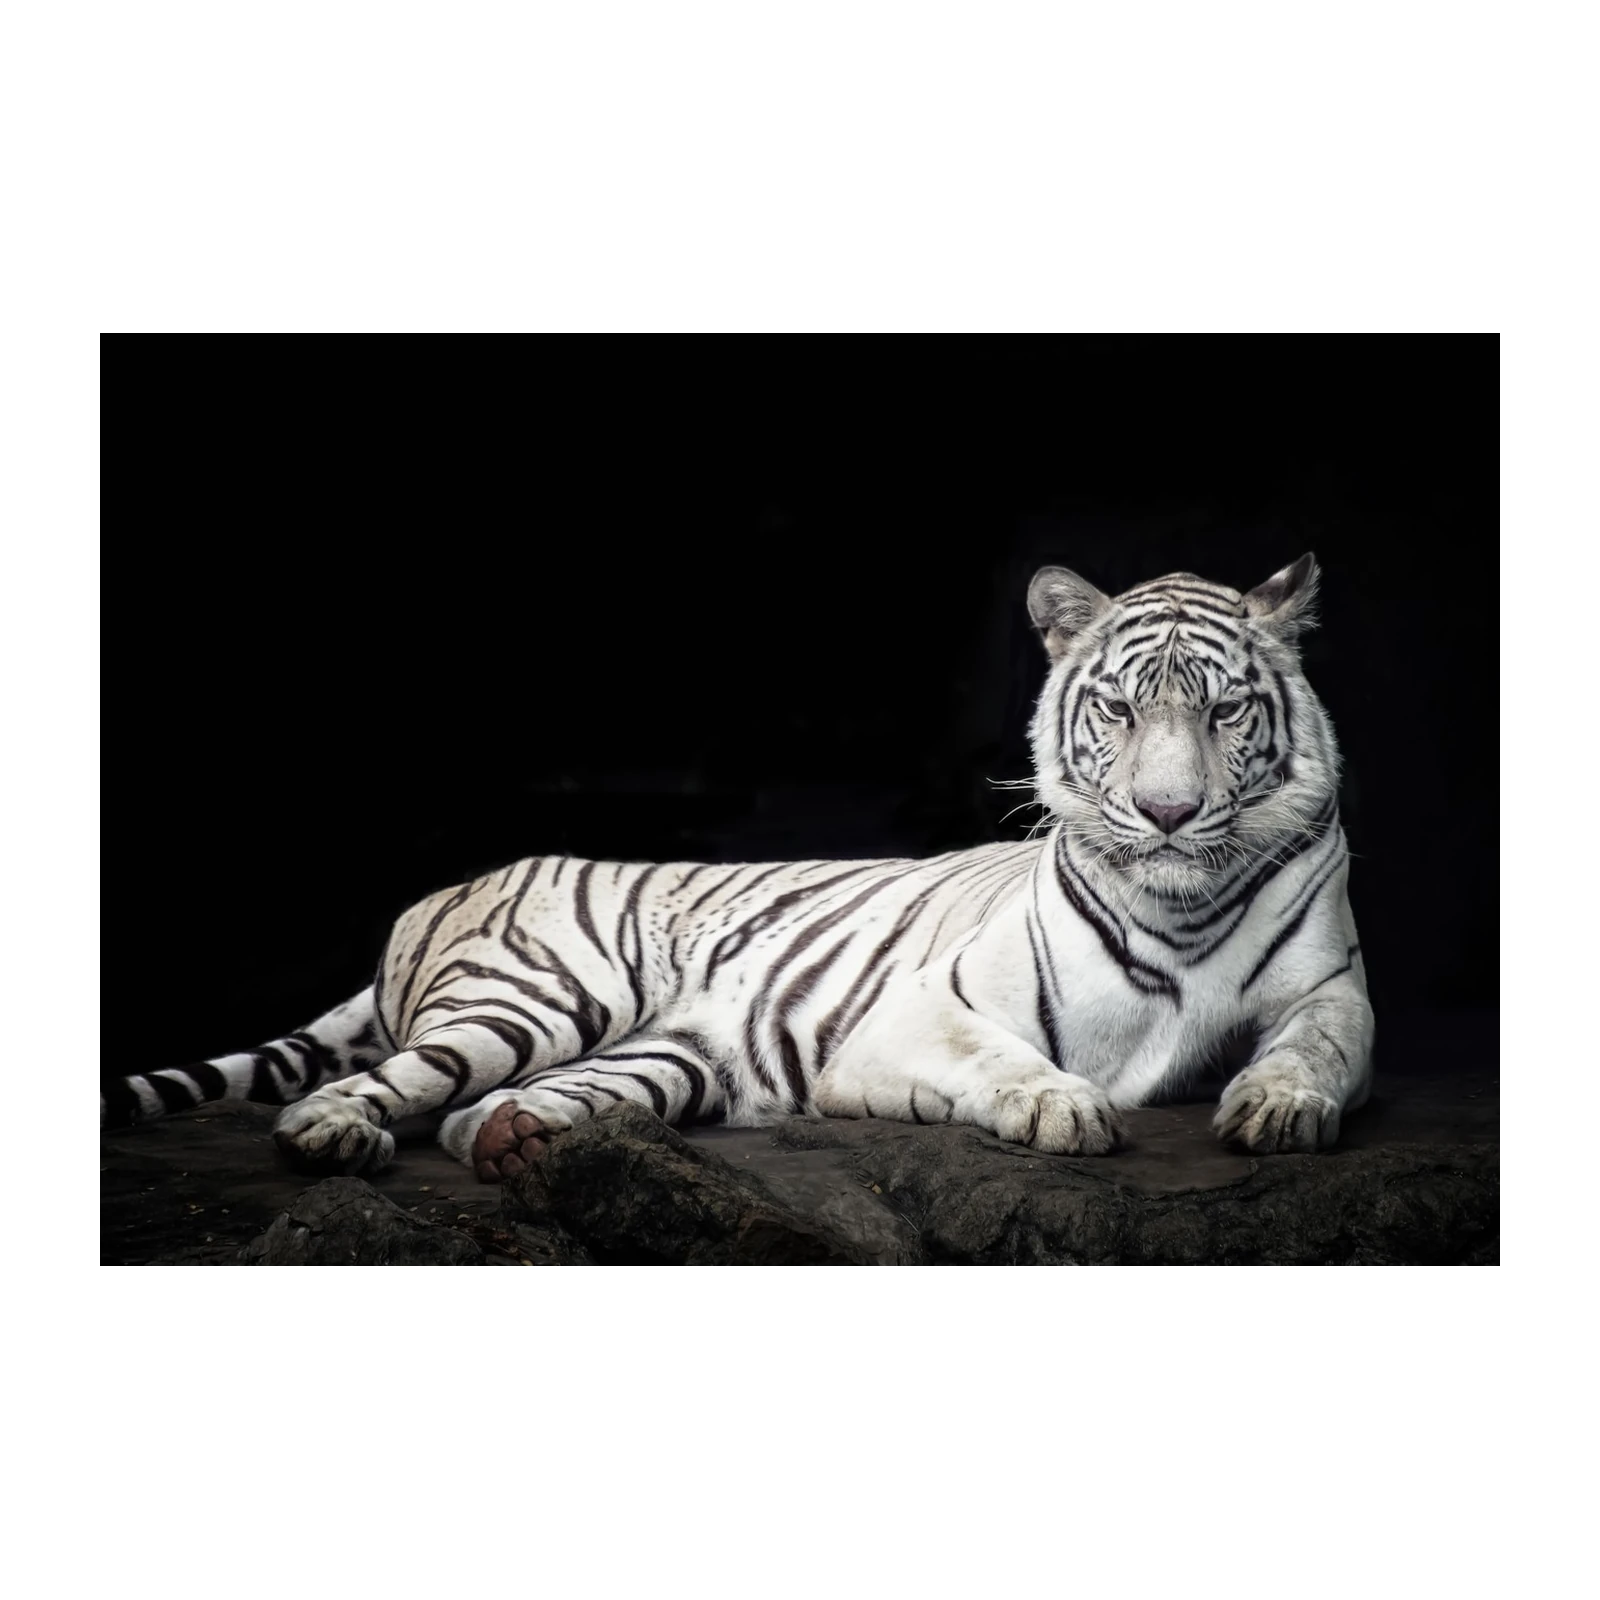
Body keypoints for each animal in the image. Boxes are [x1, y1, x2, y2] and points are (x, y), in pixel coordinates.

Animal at [96, 554, 1373, 1182]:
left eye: (1220, 712)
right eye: (1117, 709)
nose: (1166, 813)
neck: (1182, 903)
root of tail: (441, 889)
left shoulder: (1331, 990)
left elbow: (1317, 1049)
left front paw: (1276, 1107)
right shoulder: (919, 1013)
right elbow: (1005, 1057)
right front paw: (1063, 1106)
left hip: (671, 1054)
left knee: (471, 1121)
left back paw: (519, 1143)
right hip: (537, 998)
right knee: (361, 1090)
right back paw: (333, 1140)